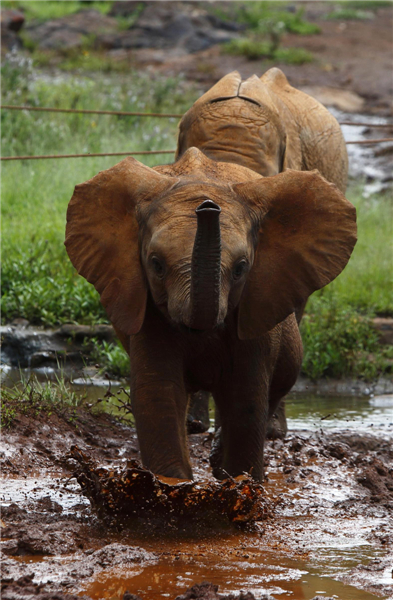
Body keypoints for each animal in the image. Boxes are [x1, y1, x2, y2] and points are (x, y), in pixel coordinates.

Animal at [65, 69, 356, 482]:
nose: (207, 205)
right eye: (155, 264)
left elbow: (247, 389)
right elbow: (157, 391)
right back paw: (196, 427)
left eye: (242, 268)